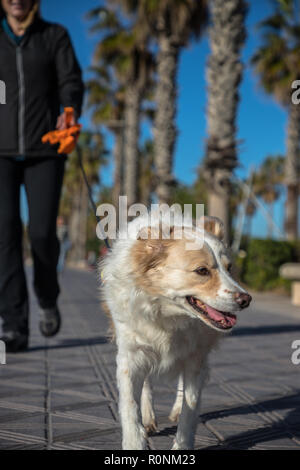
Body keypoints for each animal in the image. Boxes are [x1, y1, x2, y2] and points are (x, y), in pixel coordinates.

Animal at [100, 211, 251, 450]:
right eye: (202, 271)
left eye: (229, 269)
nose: (246, 299)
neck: (168, 315)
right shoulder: (130, 355)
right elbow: (129, 404)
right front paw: (135, 441)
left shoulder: (196, 358)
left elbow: (190, 408)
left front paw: (182, 444)